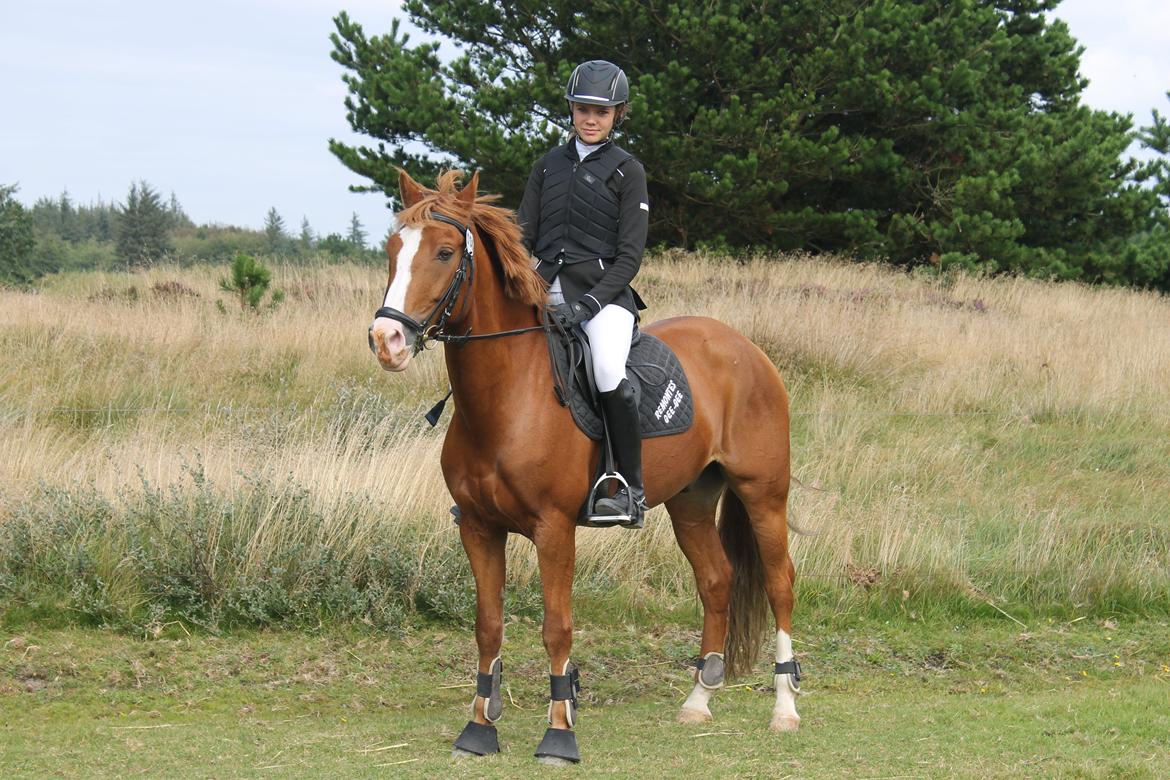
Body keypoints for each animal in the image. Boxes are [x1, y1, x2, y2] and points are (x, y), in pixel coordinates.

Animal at [367, 170, 800, 765]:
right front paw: (478, 729)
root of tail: (744, 348)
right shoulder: (479, 529)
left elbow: (557, 627)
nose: (386, 341)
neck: (508, 398)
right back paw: (698, 700)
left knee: (780, 583)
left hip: (763, 494)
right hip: (690, 500)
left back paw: (785, 708)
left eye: (444, 252)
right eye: (393, 250)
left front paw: (559, 733)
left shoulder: (553, 530)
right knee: (716, 580)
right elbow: (488, 626)